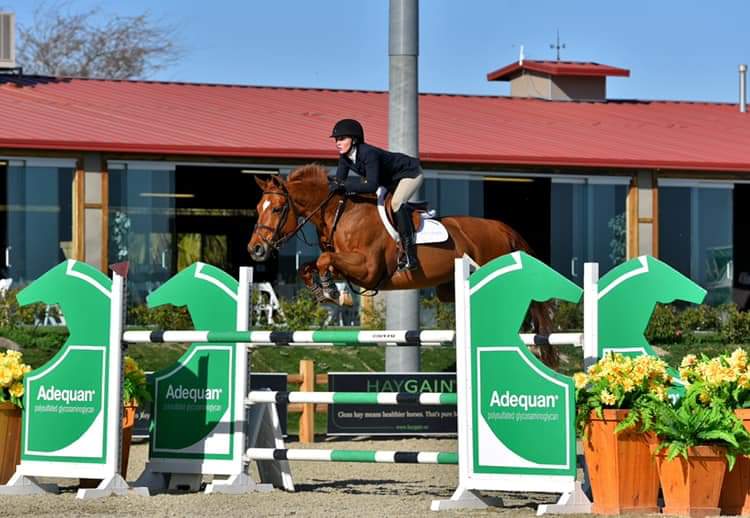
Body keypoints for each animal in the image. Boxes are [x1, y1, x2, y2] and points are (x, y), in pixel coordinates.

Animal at [247, 165, 560, 368]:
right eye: (258, 208)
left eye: (278, 209)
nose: (256, 249)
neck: (341, 212)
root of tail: (501, 228)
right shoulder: (349, 267)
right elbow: (311, 266)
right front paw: (323, 290)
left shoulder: (369, 269)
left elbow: (325, 261)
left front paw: (328, 291)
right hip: (448, 288)